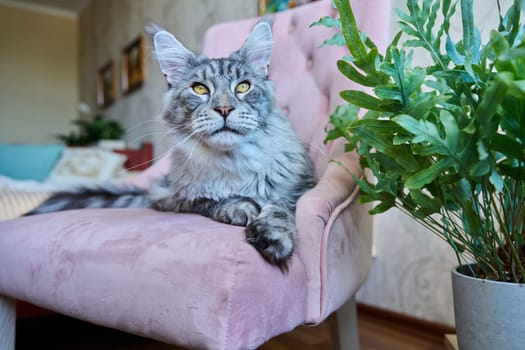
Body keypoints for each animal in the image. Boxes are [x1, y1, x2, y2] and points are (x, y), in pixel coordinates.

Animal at [28, 21, 314, 268]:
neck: (231, 163)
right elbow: (212, 201)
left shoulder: (300, 189)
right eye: (200, 89)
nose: (224, 108)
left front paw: (273, 236)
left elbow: (279, 208)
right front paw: (238, 207)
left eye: (243, 87)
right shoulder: (178, 199)